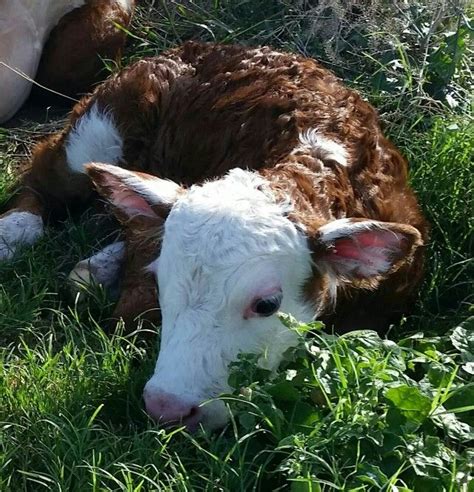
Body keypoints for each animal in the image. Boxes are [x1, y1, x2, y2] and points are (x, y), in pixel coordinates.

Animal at [0, 44, 430, 432]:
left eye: (267, 304)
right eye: (162, 284)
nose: (168, 407)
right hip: (98, 128)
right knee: (43, 177)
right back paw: (13, 233)